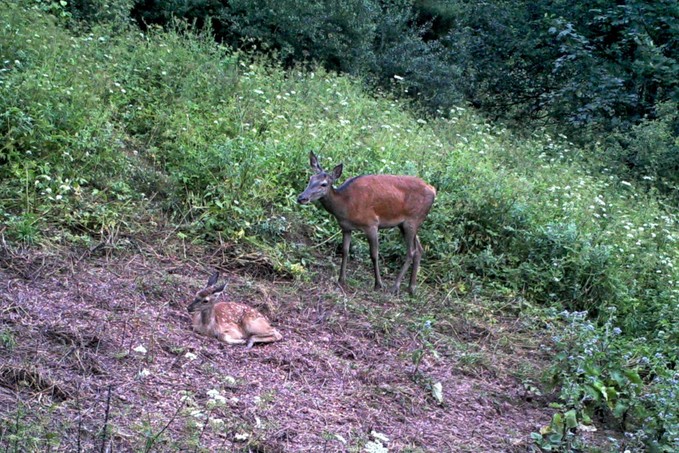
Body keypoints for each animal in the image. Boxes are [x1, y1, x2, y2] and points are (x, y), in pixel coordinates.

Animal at [296, 150, 436, 294]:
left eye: (323, 184)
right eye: (310, 179)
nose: (301, 198)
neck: (345, 206)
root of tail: (433, 190)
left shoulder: (371, 224)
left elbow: (374, 254)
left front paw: (378, 284)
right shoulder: (345, 227)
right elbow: (345, 251)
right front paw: (341, 279)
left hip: (412, 220)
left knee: (411, 251)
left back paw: (395, 286)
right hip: (405, 224)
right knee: (419, 249)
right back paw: (411, 288)